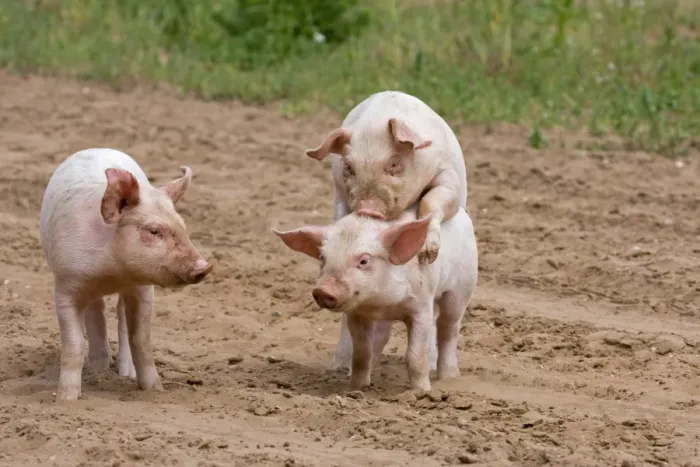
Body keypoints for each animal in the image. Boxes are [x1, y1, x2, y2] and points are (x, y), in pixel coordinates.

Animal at [39, 148, 213, 401]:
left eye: (183, 228)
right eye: (154, 231)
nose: (204, 266)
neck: (111, 273)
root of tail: (97, 148)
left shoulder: (143, 288)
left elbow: (140, 339)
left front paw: (154, 391)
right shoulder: (65, 284)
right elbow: (73, 343)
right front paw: (65, 399)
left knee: (119, 316)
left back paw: (123, 372)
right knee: (97, 310)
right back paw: (98, 369)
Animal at [272, 205, 478, 391]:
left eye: (364, 261)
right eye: (323, 257)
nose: (323, 290)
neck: (380, 303)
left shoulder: (422, 306)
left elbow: (415, 355)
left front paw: (422, 392)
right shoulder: (356, 314)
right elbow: (361, 353)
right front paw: (356, 388)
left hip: (461, 288)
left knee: (449, 329)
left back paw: (449, 377)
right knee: (381, 337)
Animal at [304, 90, 468, 371]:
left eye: (394, 164)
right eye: (349, 167)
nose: (369, 208)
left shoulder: (449, 177)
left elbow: (432, 201)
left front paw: (428, 253)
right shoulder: (339, 188)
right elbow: (343, 219)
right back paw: (340, 366)